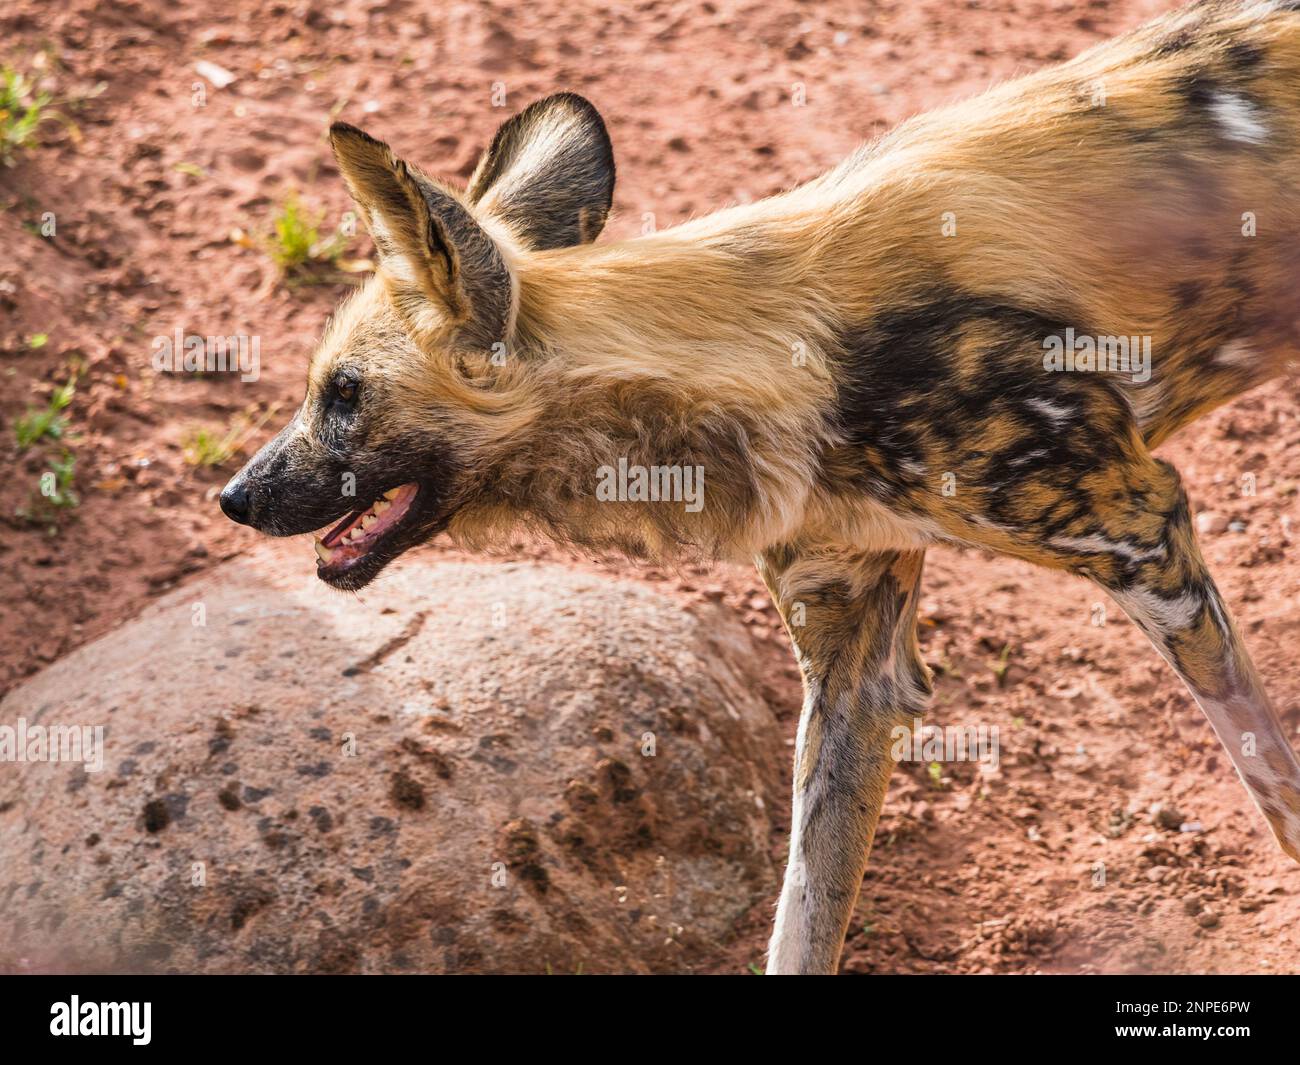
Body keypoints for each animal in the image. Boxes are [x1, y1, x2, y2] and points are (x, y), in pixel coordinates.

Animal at [228, 2, 1300, 972]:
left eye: (345, 393)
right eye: (319, 386)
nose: (234, 497)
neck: (783, 349)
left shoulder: (1145, 538)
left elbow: (1277, 796)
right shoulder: (857, 674)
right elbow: (803, 919)